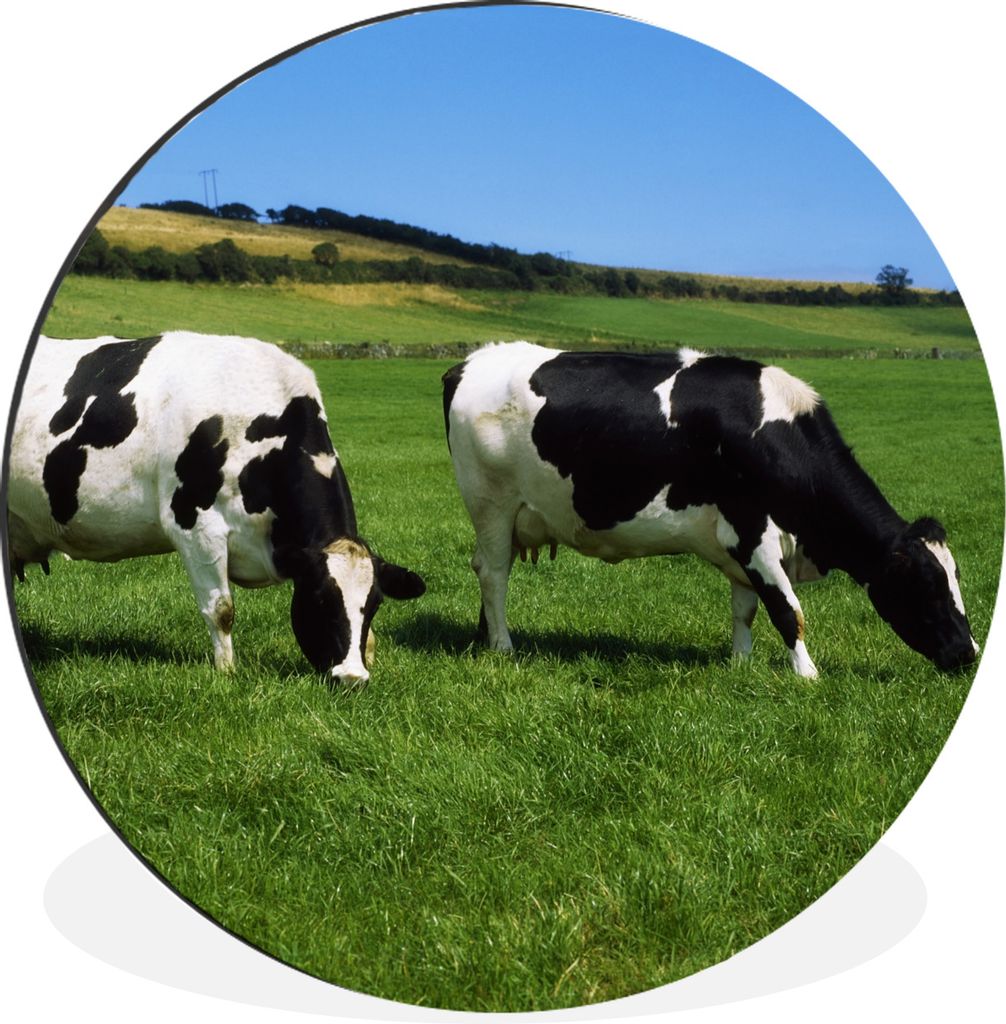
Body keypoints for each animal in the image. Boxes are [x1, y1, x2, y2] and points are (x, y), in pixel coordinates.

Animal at [7, 331, 426, 684]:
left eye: (375, 604)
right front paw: (227, 673)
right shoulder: (196, 528)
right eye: (320, 599)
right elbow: (222, 610)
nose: (351, 679)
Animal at [442, 341, 978, 678]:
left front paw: (740, 664)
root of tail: (468, 363)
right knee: (494, 573)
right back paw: (504, 646)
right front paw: (807, 674)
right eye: (927, 586)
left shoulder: (739, 546)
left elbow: (746, 609)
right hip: (491, 503)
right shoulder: (753, 533)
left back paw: (486, 638)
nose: (968, 653)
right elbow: (788, 610)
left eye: (955, 578)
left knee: (488, 574)